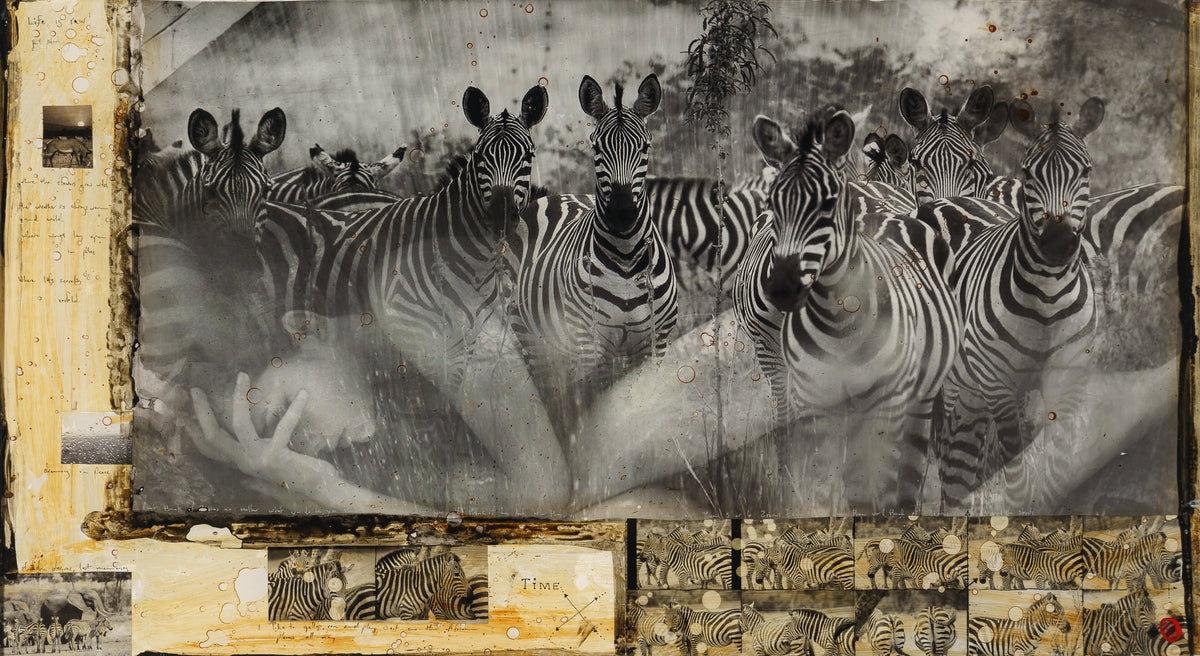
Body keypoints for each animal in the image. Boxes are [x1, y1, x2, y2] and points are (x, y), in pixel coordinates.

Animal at [511, 73, 677, 419]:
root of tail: (550, 197)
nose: (622, 212)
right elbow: (594, 406)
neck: (626, 257)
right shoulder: (590, 344)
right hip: (532, 338)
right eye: (597, 147)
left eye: (645, 146)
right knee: (554, 395)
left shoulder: (656, 342)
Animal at [935, 98, 1106, 510]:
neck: (1047, 296)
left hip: (973, 392)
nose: (1058, 243)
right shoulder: (999, 385)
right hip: (954, 383)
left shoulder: (1067, 380)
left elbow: (1057, 469)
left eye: (1086, 170)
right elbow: (1017, 479)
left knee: (961, 464)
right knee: (947, 461)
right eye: (1029, 173)